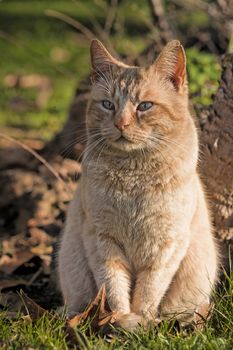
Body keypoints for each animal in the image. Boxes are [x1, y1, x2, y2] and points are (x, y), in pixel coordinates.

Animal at [58, 39, 218, 330]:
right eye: (107, 105)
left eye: (144, 106)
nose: (121, 124)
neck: (133, 177)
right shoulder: (102, 239)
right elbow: (114, 287)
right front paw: (120, 318)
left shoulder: (166, 244)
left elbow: (149, 290)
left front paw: (141, 320)